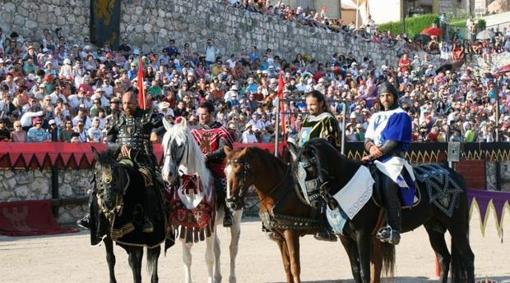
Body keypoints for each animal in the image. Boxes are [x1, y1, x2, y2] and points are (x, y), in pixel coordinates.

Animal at [88, 149, 166, 283]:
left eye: (116, 174)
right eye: (97, 173)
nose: (108, 202)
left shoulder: (132, 237)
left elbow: (134, 264)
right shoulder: (106, 235)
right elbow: (110, 258)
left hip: (155, 235)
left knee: (155, 255)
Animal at [162, 117, 244, 283]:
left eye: (180, 145)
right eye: (164, 143)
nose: (167, 174)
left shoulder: (208, 225)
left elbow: (209, 258)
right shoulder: (184, 225)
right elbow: (187, 258)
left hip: (236, 220)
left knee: (232, 249)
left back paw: (231, 278)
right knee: (218, 248)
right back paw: (218, 277)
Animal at [288, 140, 476, 283]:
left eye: (310, 168)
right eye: (296, 172)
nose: (313, 200)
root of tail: (454, 174)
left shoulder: (362, 235)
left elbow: (365, 272)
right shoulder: (345, 238)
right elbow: (355, 271)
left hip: (456, 225)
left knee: (468, 257)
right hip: (434, 227)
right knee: (444, 258)